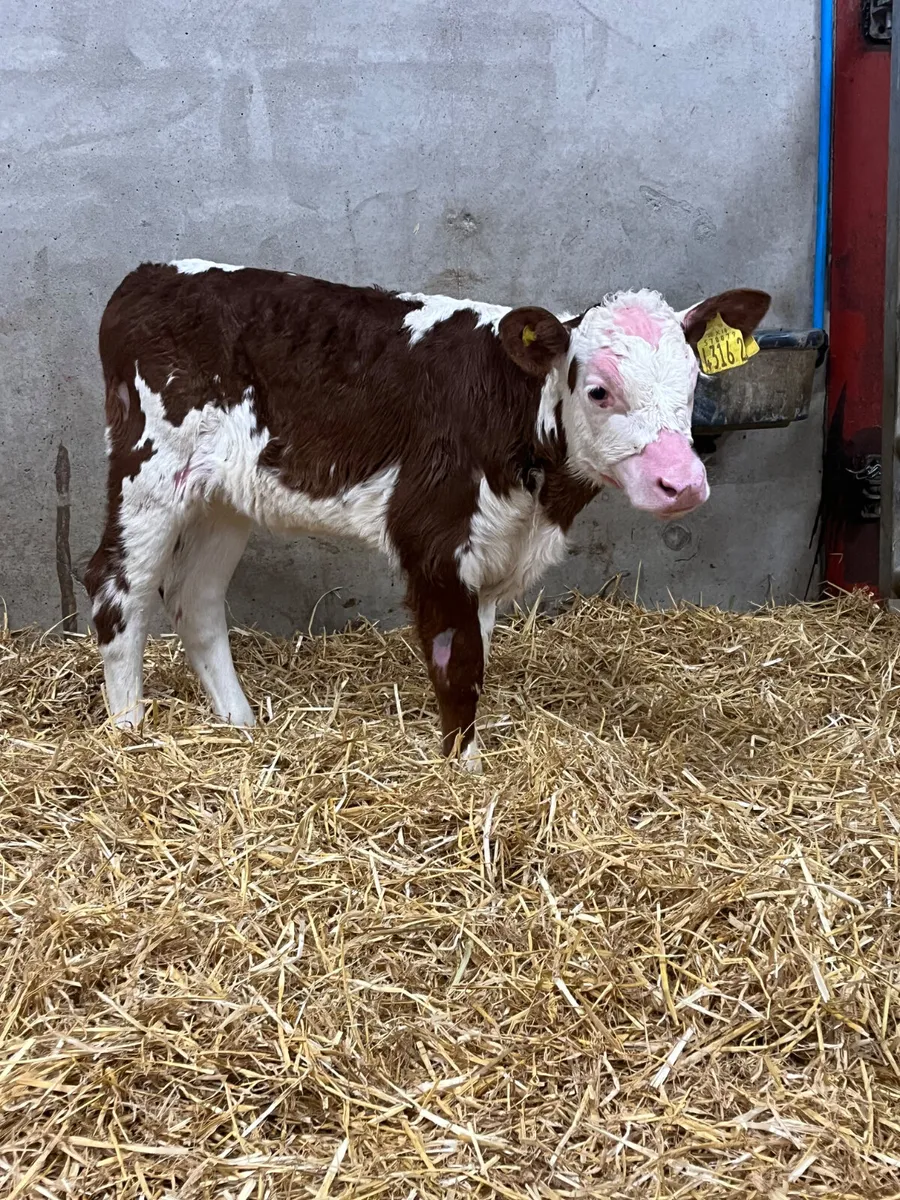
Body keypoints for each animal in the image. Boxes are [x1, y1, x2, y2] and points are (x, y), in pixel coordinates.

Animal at [85, 260, 770, 771]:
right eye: (598, 390)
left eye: (693, 382)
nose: (681, 483)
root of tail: (147, 275)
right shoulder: (432, 538)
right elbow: (456, 660)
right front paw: (462, 772)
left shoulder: (492, 551)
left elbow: (478, 656)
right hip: (149, 469)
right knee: (117, 586)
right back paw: (127, 732)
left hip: (223, 496)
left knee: (195, 597)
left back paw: (240, 725)